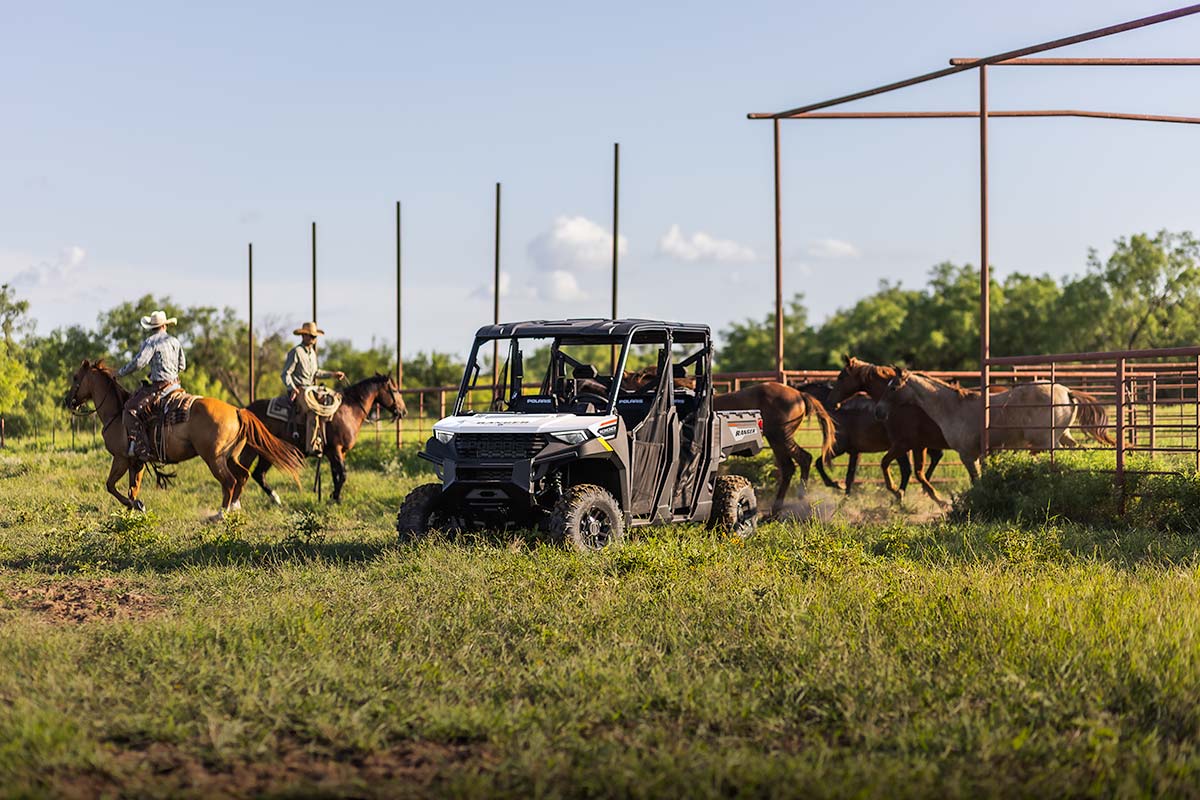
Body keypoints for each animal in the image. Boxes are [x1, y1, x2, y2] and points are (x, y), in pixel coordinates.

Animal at [66, 357, 304, 520]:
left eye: (76, 377)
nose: (68, 400)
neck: (117, 412)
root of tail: (238, 411)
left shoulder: (121, 458)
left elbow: (111, 485)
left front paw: (135, 506)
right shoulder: (137, 462)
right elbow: (132, 489)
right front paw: (136, 508)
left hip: (214, 458)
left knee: (229, 481)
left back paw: (220, 514)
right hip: (231, 456)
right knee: (243, 476)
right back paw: (234, 508)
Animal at [238, 374, 408, 501]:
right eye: (395, 390)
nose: (403, 411)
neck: (348, 411)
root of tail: (246, 410)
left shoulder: (338, 452)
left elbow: (336, 475)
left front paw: (335, 497)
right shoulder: (335, 449)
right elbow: (343, 474)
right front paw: (334, 497)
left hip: (266, 451)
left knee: (257, 473)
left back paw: (274, 499)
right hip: (253, 450)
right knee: (244, 471)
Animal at [830, 357, 950, 506]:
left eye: (841, 377)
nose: (831, 401)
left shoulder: (904, 444)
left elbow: (902, 468)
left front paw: (898, 493)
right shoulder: (912, 445)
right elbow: (913, 471)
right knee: (936, 457)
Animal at [873, 369, 1113, 489]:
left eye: (893, 388)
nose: (878, 412)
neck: (954, 408)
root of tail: (1067, 391)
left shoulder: (967, 455)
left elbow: (975, 480)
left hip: (1048, 441)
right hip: (1064, 436)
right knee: (1080, 452)